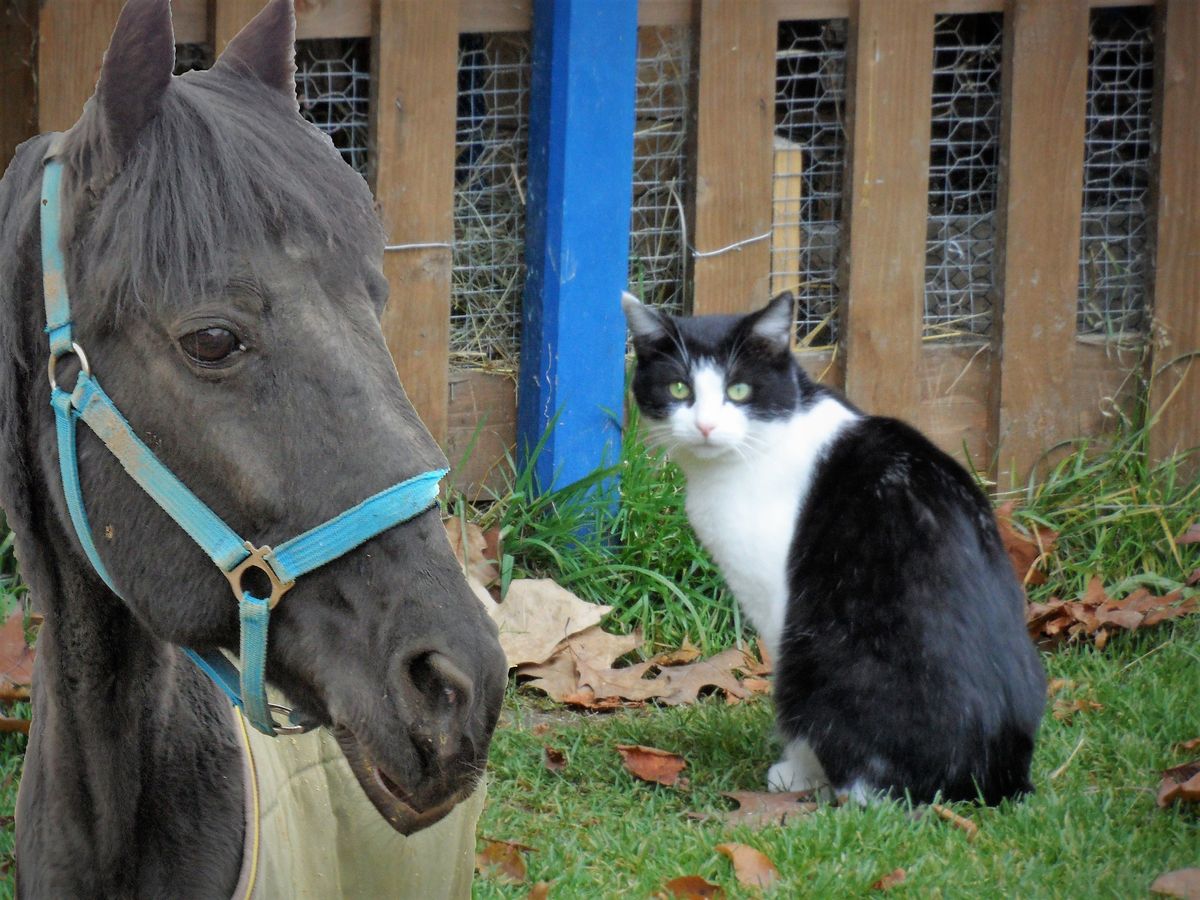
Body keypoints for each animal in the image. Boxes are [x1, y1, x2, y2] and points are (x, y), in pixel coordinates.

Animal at [624, 292, 1046, 806]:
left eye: (739, 390)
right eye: (679, 389)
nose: (705, 426)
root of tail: (996, 781)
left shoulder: (781, 606)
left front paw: (798, 773)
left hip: (822, 649)